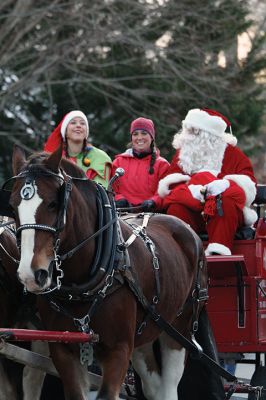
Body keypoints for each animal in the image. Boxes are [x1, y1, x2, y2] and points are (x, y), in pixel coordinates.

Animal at [8, 146, 210, 400]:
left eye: (54, 204)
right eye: (13, 206)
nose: (30, 274)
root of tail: (186, 229)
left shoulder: (119, 348)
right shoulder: (63, 348)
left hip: (180, 329)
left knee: (169, 385)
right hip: (147, 329)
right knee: (153, 385)